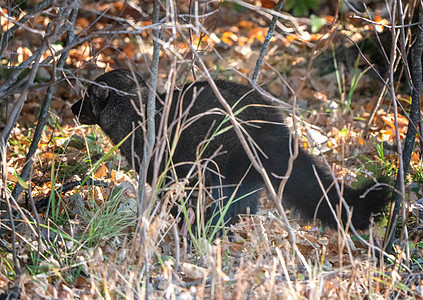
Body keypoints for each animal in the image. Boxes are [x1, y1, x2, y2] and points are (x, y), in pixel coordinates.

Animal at [71, 69, 392, 231]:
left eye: (86, 95)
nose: (72, 107)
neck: (137, 115)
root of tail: (275, 130)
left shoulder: (166, 170)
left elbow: (172, 199)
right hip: (242, 176)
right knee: (243, 205)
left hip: (219, 166)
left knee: (226, 207)